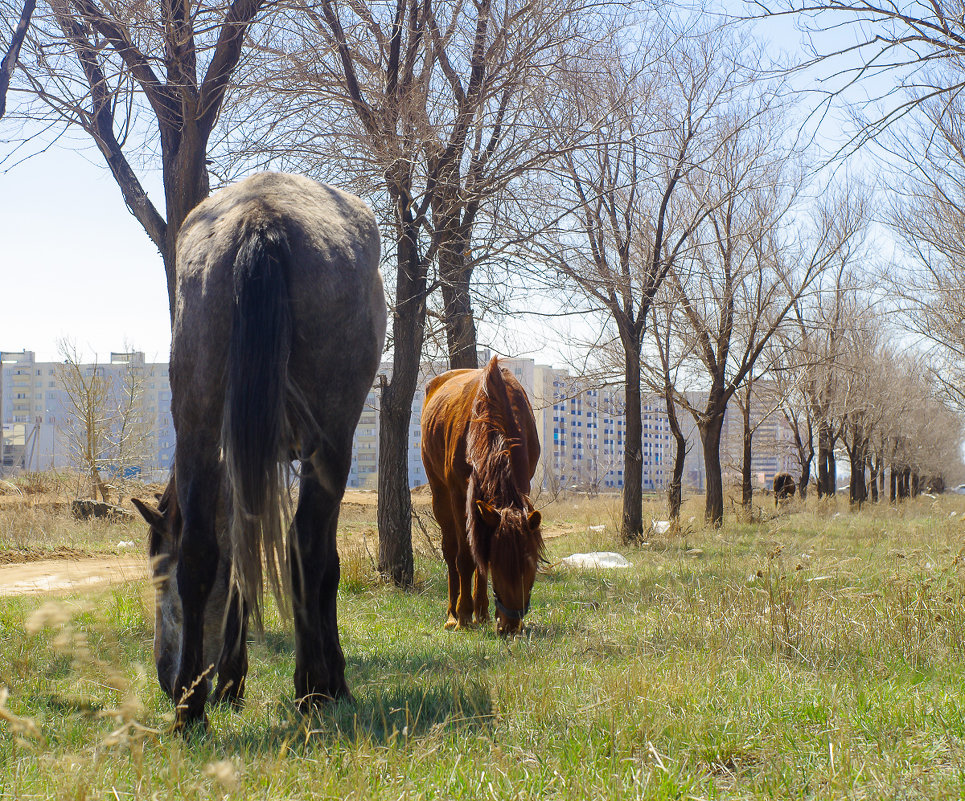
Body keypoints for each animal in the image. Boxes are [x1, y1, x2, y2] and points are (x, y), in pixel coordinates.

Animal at [133, 172, 388, 728]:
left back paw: (192, 713)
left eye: (160, 578)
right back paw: (311, 686)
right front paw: (328, 677)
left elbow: (235, 561)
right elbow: (321, 566)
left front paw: (230, 683)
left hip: (198, 422)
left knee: (201, 551)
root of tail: (260, 219)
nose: (163, 677)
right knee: (307, 549)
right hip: (331, 440)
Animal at [420, 360, 548, 636]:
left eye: (530, 567)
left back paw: (482, 612)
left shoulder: (522, 486)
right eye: (498, 568)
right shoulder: (459, 496)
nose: (510, 626)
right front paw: (463, 615)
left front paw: (479, 611)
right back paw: (453, 613)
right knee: (450, 551)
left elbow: (480, 556)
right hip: (439, 493)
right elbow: (466, 557)